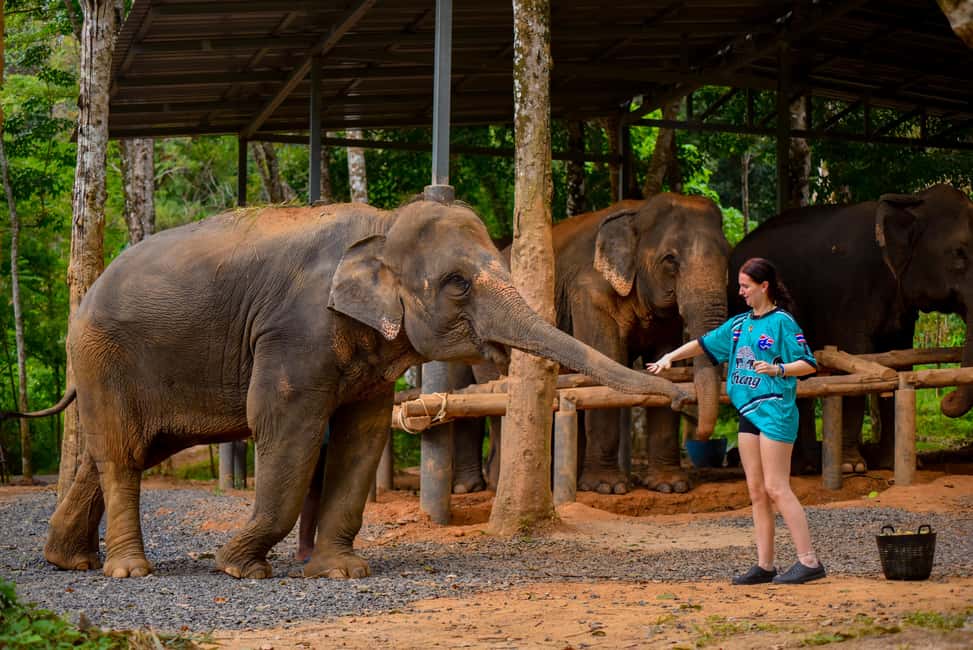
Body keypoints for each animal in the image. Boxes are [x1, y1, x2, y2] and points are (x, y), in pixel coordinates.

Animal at [14, 199, 684, 581]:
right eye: (458, 284)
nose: (675, 388)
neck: (383, 228)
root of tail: (87, 295)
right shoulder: (294, 332)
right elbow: (287, 430)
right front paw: (239, 570)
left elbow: (362, 437)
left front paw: (341, 573)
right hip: (103, 357)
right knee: (123, 457)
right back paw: (128, 571)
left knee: (111, 454)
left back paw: (67, 561)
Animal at [454, 193, 730, 495]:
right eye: (670, 259)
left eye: (728, 253)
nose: (684, 404)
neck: (637, 210)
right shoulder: (588, 294)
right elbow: (605, 358)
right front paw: (607, 487)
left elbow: (664, 360)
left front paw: (671, 485)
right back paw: (484, 487)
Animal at [729, 183, 973, 472]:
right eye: (958, 253)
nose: (946, 400)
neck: (912, 201)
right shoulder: (847, 295)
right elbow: (854, 359)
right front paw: (851, 467)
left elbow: (900, 359)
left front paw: (894, 463)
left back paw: (808, 463)